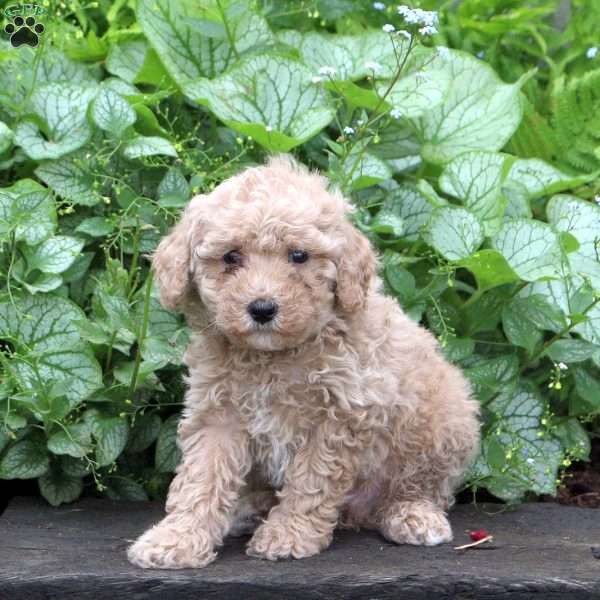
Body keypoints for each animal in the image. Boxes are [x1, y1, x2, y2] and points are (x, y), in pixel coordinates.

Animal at [129, 155, 480, 568]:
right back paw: (248, 511)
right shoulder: (218, 414)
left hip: (443, 421)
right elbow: (202, 478)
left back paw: (412, 514)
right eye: (231, 257)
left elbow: (311, 483)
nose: (262, 308)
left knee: (420, 485)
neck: (272, 357)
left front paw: (288, 535)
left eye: (299, 256)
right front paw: (176, 539)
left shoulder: (338, 416)